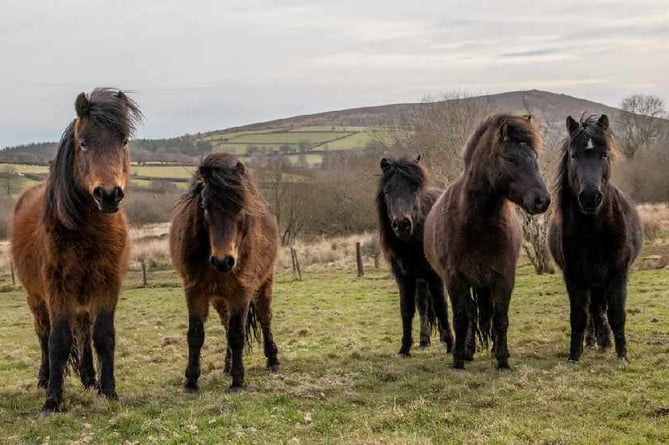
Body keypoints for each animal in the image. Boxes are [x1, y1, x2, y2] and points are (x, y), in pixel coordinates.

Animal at [10, 88, 142, 414]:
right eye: (83, 143)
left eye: (123, 141)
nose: (108, 195)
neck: (88, 232)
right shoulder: (56, 288)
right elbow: (58, 340)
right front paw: (52, 402)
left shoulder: (108, 284)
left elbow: (103, 336)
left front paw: (108, 391)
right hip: (37, 298)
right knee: (43, 333)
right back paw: (45, 378)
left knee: (83, 331)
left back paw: (89, 378)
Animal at [171, 153, 280, 392]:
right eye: (204, 207)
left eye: (241, 208)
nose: (223, 261)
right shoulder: (194, 292)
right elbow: (195, 335)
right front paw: (191, 381)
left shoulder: (242, 293)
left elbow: (237, 335)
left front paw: (238, 382)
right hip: (220, 299)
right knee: (226, 324)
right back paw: (227, 366)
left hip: (264, 284)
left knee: (264, 318)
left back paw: (273, 360)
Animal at [376, 154, 454, 356]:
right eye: (386, 192)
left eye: (414, 190)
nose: (402, 224)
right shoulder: (405, 278)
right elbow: (407, 309)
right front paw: (404, 348)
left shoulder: (435, 276)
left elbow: (441, 307)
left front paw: (451, 345)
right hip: (420, 280)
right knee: (423, 305)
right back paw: (424, 340)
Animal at [426, 113, 552, 368]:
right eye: (510, 158)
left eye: (534, 157)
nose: (542, 200)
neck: (477, 223)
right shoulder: (455, 279)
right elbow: (462, 319)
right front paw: (458, 360)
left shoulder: (504, 277)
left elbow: (500, 318)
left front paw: (502, 359)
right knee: (470, 315)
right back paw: (468, 351)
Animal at [548, 113, 640, 360]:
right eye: (574, 155)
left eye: (604, 154)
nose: (590, 197)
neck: (594, 232)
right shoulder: (574, 277)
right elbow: (579, 317)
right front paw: (574, 356)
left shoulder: (618, 274)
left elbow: (617, 314)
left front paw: (622, 355)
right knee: (592, 312)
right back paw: (592, 342)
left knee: (600, 309)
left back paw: (604, 342)